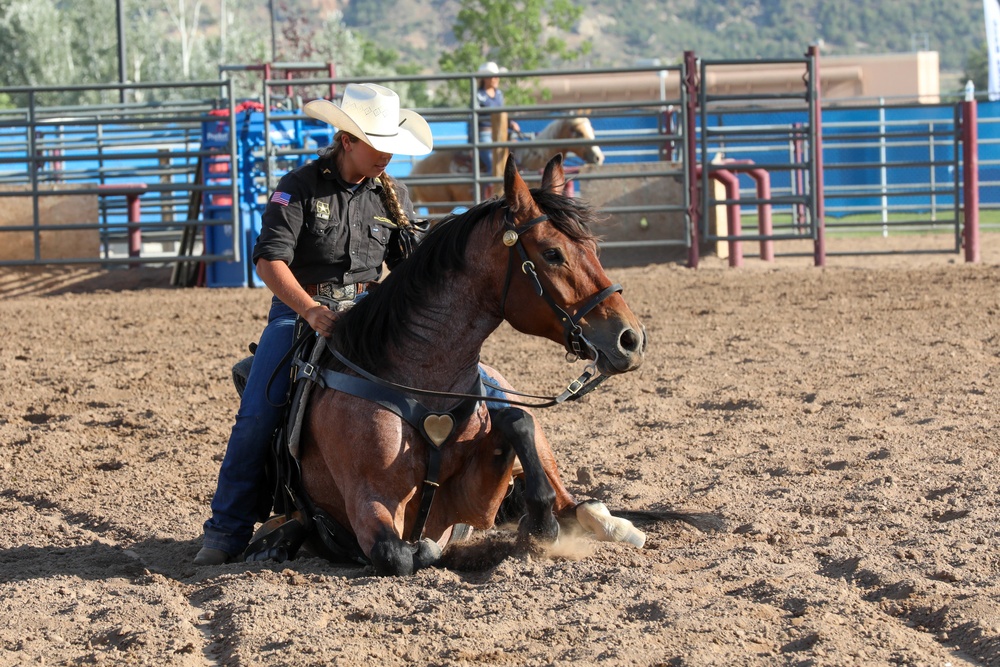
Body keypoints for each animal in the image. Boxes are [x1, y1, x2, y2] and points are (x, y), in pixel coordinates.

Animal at [300, 154, 648, 576]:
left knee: (572, 499)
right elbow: (398, 553)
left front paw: (541, 524)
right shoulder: (371, 506)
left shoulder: (467, 505)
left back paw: (609, 524)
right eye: (552, 253)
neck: (416, 379)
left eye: (593, 247)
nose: (631, 339)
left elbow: (518, 420)